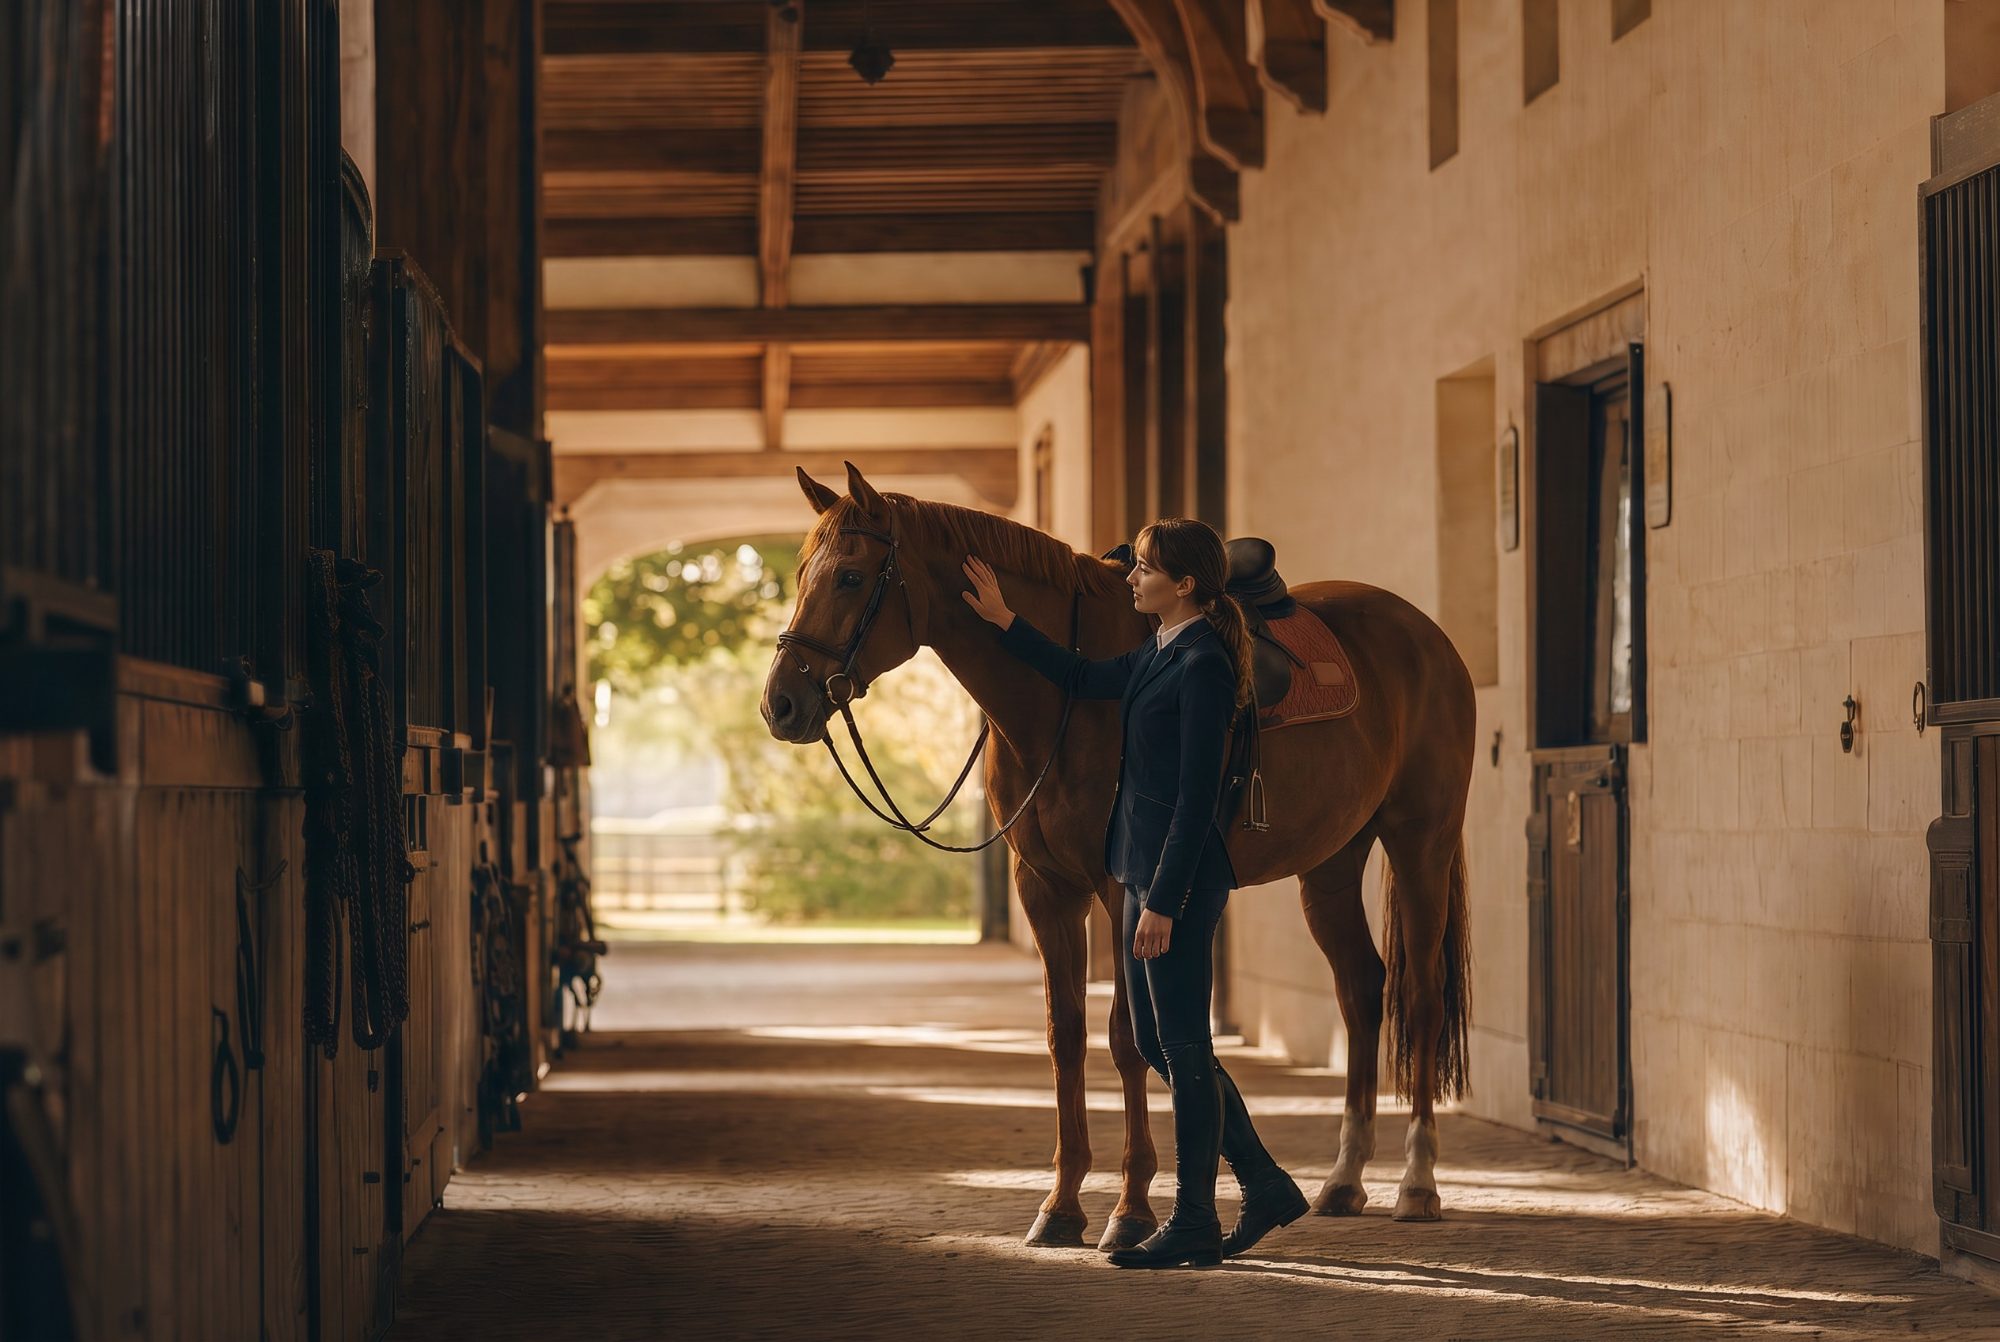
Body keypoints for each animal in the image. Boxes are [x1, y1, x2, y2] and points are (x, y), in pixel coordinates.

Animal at [760, 462, 1477, 1251]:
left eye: (851, 577)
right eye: (804, 573)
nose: (781, 704)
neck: (1064, 703)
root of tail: (1427, 637)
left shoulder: (1118, 887)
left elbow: (1128, 1037)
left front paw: (1129, 1211)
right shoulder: (1045, 887)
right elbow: (1065, 1035)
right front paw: (1060, 1206)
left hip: (1420, 841)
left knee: (1419, 997)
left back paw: (1417, 1184)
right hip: (1331, 862)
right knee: (1361, 989)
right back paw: (1344, 1182)